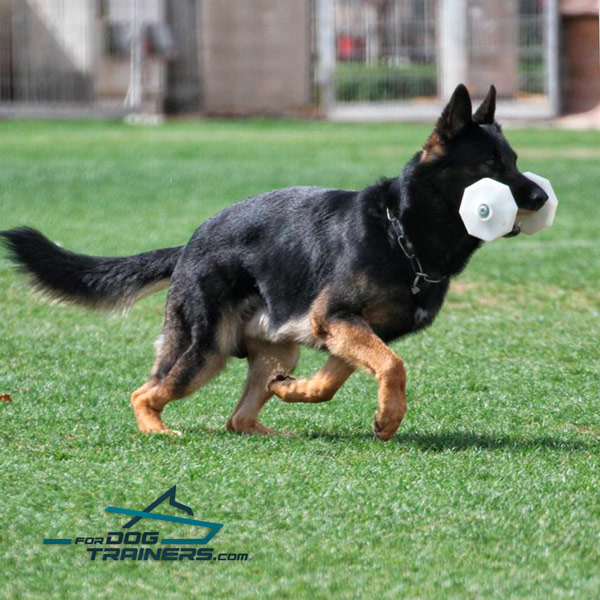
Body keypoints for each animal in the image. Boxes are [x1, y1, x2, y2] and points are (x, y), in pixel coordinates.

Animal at [0, 84, 548, 440]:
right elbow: (393, 367)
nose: (541, 197)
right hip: (204, 351)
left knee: (239, 417)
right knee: (144, 392)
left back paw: (273, 423)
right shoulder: (338, 319)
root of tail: (191, 242)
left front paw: (302, 394)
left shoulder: (346, 331)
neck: (403, 234)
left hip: (276, 351)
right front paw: (390, 418)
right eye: (490, 166)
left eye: (515, 161)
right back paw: (158, 430)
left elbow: (334, 381)